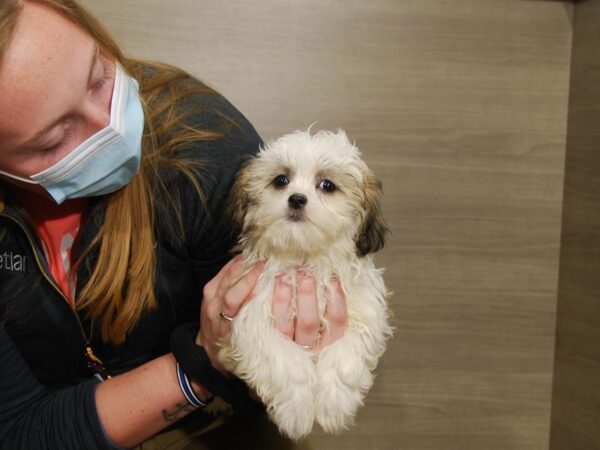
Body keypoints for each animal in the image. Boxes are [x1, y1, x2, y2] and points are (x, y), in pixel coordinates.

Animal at [220, 129, 394, 440]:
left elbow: (345, 357)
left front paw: (334, 407)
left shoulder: (364, 313)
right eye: (280, 180)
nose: (297, 199)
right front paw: (296, 412)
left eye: (327, 185)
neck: (305, 259)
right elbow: (284, 361)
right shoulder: (253, 316)